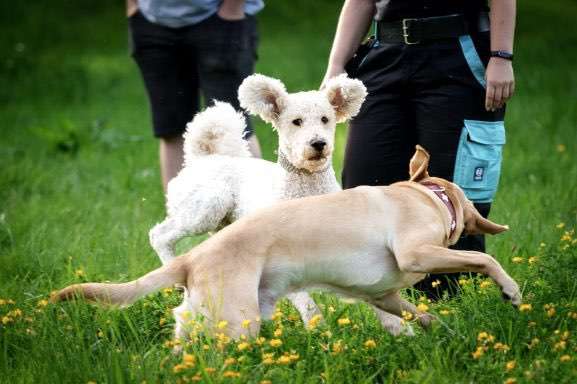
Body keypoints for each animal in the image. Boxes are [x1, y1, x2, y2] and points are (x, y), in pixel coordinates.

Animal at [56, 146, 520, 340]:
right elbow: (480, 258)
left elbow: (421, 315)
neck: (429, 197)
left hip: (207, 316)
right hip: (238, 320)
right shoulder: (418, 252)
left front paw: (444, 333)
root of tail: (192, 258)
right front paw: (510, 291)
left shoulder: (383, 295)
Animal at [148, 73, 364, 322]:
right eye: (296, 121)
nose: (318, 143)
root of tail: (201, 159)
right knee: (160, 235)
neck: (307, 186)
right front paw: (317, 326)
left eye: (325, 119)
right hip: (207, 208)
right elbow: (306, 302)